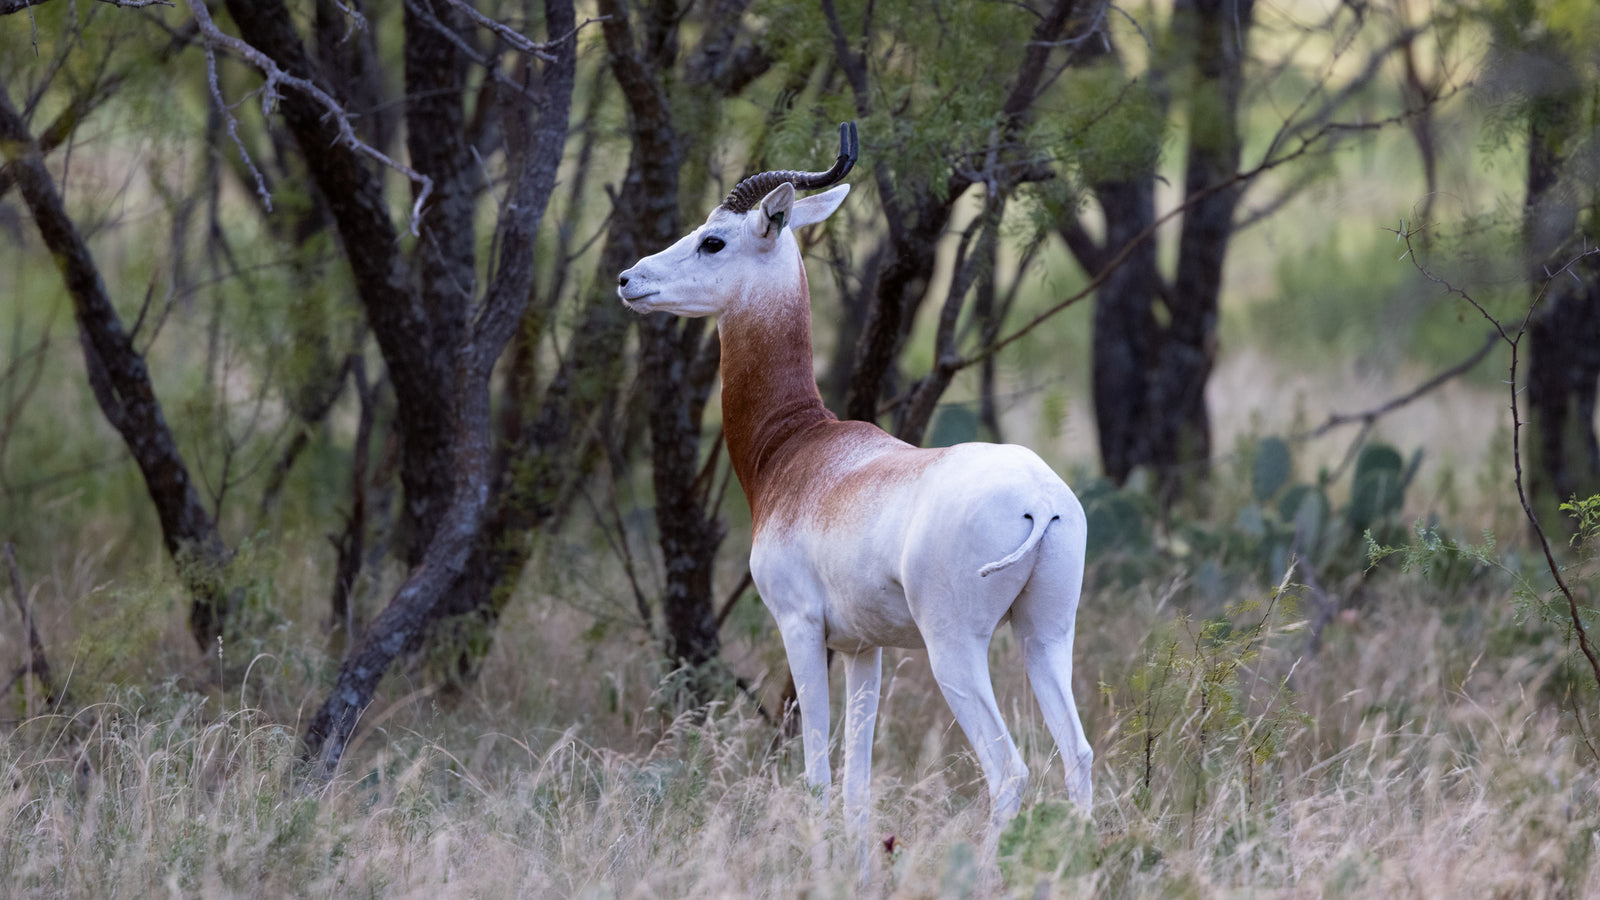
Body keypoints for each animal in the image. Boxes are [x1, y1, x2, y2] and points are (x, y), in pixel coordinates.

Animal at [616, 124, 1092, 837]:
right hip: (1045, 635)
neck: (799, 449)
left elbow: (816, 774)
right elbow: (856, 784)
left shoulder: (800, 627)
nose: (627, 278)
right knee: (1077, 755)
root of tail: (1039, 500)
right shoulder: (864, 649)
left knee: (1008, 770)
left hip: (956, 650)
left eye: (713, 239)